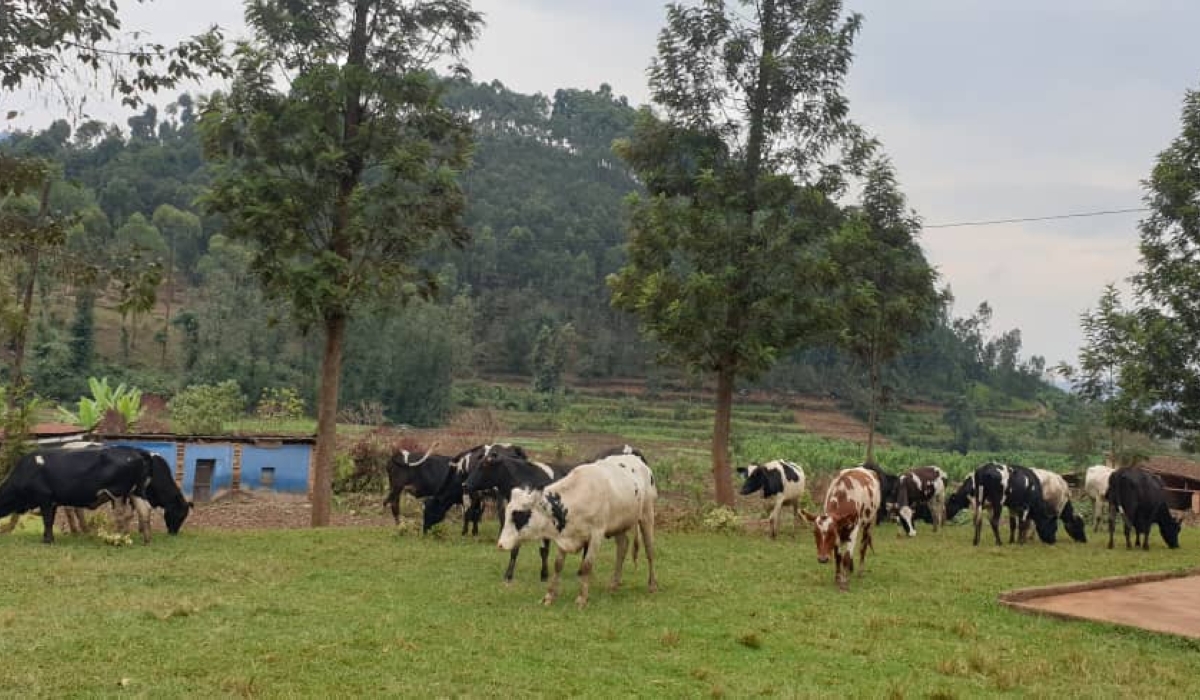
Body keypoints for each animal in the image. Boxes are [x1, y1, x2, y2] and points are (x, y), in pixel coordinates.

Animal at [0, 445, 189, 544]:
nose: (174, 532)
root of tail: (137, 452)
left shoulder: (45, 499)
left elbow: (47, 520)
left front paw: (48, 540)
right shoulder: (51, 502)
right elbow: (49, 520)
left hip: (118, 494)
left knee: (122, 515)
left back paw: (118, 537)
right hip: (135, 493)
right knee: (143, 511)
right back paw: (145, 538)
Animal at [462, 446, 569, 582]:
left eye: (485, 465)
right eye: (476, 464)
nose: (465, 485)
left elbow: (544, 550)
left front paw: (544, 575)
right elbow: (514, 549)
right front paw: (508, 575)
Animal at [497, 450, 657, 607]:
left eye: (520, 515)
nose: (500, 544)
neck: (578, 497)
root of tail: (638, 460)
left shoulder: (596, 535)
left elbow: (586, 565)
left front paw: (582, 598)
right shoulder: (563, 534)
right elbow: (558, 565)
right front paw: (549, 596)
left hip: (647, 516)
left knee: (649, 551)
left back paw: (652, 584)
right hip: (619, 525)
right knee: (622, 547)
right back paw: (614, 583)